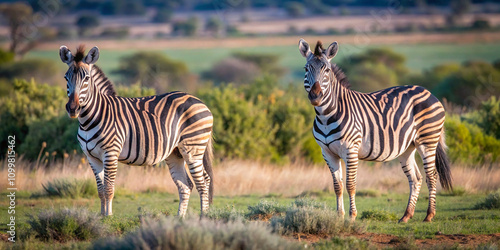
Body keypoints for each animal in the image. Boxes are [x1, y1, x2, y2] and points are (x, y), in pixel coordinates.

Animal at [59, 45, 214, 217]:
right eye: (66, 78)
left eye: (86, 78)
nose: (73, 108)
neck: (89, 119)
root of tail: (199, 101)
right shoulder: (91, 157)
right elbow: (100, 190)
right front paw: (102, 216)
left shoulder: (111, 153)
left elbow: (109, 189)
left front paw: (109, 217)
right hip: (176, 152)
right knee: (186, 185)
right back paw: (180, 218)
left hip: (193, 148)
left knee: (203, 182)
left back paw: (204, 217)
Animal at [296, 39, 454, 223]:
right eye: (306, 69)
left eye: (326, 70)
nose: (316, 96)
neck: (325, 116)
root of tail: (428, 92)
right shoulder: (327, 153)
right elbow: (337, 186)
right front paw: (339, 217)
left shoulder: (351, 149)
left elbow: (350, 184)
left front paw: (352, 216)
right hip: (407, 147)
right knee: (416, 178)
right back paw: (406, 216)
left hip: (427, 141)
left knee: (432, 176)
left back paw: (429, 215)